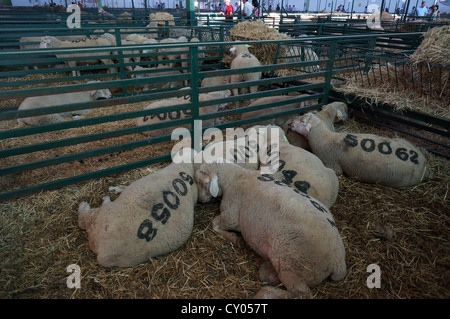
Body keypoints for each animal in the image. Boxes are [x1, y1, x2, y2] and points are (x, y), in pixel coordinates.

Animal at [195, 162, 346, 300]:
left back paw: (266, 293)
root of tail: (338, 261)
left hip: (291, 262)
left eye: (203, 183)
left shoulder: (231, 216)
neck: (235, 176)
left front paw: (236, 239)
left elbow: (214, 224)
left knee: (302, 294)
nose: (201, 200)